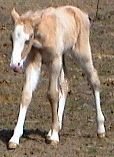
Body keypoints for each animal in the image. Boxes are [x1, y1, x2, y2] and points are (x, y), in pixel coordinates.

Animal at [8, 5, 105, 148]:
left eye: (28, 40)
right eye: (12, 38)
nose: (15, 65)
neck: (42, 36)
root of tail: (82, 14)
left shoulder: (54, 61)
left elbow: (52, 94)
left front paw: (54, 136)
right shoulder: (34, 62)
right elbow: (26, 94)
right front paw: (15, 138)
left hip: (81, 54)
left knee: (94, 80)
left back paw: (100, 129)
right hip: (62, 57)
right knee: (65, 84)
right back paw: (55, 128)